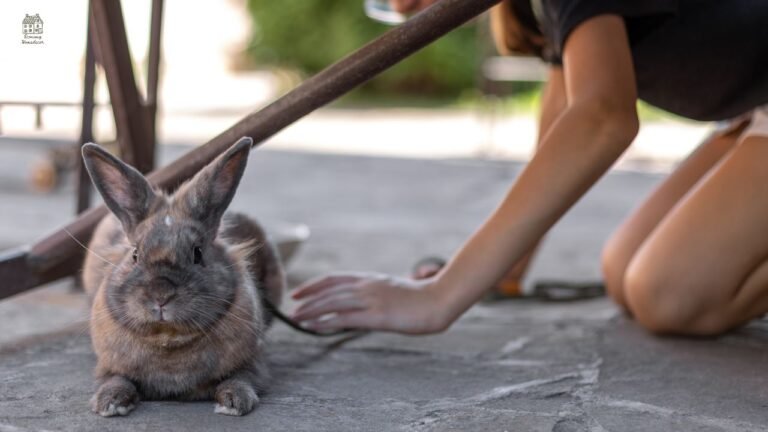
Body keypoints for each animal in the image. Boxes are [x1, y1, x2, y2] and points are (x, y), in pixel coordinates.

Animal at [81, 137, 284, 417]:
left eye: (197, 253)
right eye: (135, 254)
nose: (161, 295)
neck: (168, 339)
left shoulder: (254, 364)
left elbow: (240, 378)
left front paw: (234, 402)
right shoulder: (108, 367)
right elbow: (116, 380)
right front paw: (109, 403)